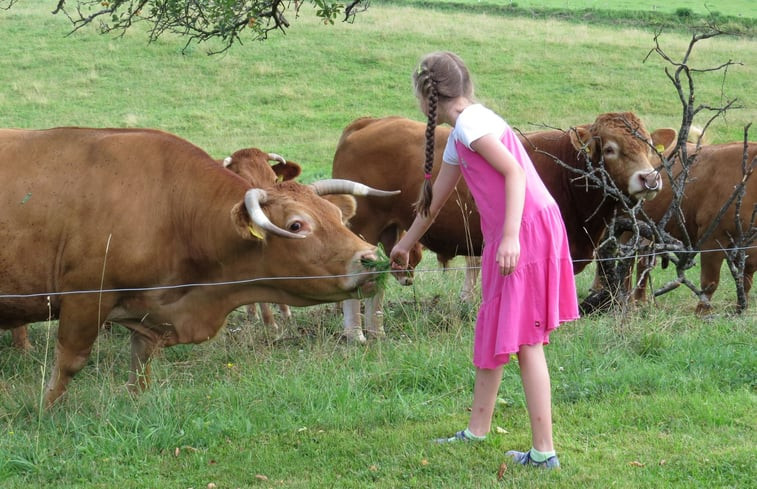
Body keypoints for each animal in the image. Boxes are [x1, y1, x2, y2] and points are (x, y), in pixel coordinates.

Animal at [0, 127, 398, 404]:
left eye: (335, 214)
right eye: (296, 225)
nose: (371, 259)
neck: (170, 208)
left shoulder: (150, 310)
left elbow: (141, 364)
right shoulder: (85, 297)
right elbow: (70, 361)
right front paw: (46, 412)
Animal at [330, 113, 672, 340]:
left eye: (649, 146)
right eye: (611, 148)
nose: (649, 179)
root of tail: (369, 122)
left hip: (387, 230)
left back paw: (376, 330)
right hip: (363, 227)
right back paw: (355, 334)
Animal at [632, 140, 756, 312]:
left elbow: (746, 280)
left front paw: (741, 308)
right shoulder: (713, 239)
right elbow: (710, 281)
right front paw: (703, 311)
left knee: (643, 262)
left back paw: (639, 301)